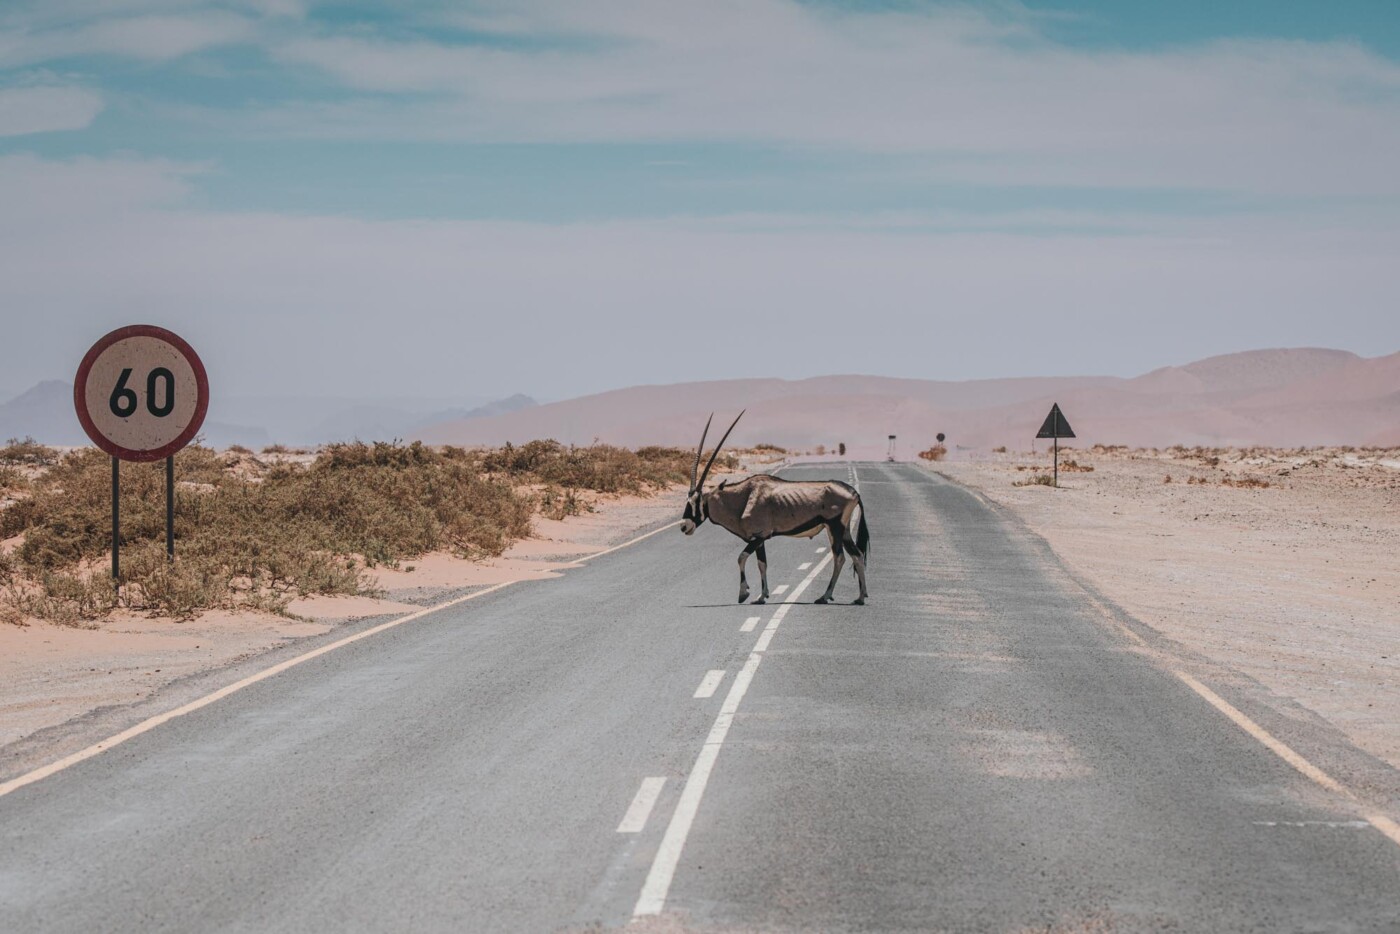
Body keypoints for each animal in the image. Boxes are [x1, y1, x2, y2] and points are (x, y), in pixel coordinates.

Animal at [677, 411, 862, 607]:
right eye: (687, 500)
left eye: (697, 501)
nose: (684, 526)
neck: (743, 498)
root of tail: (853, 492)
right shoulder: (759, 538)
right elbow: (762, 564)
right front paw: (761, 596)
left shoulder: (759, 536)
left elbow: (741, 557)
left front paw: (744, 593)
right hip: (843, 530)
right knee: (856, 555)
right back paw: (860, 597)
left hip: (834, 527)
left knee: (839, 557)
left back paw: (825, 596)